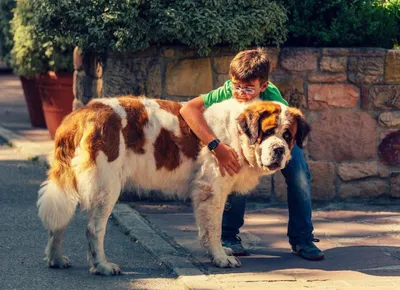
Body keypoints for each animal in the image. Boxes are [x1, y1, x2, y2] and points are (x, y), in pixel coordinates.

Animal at [37, 96, 310, 276]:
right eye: (268, 132)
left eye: (288, 136)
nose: (279, 150)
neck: (237, 134)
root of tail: (82, 114)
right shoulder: (212, 189)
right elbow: (214, 228)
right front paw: (221, 258)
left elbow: (207, 228)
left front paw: (218, 252)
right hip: (107, 186)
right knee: (94, 229)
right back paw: (102, 266)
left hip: (73, 182)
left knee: (59, 221)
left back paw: (56, 259)